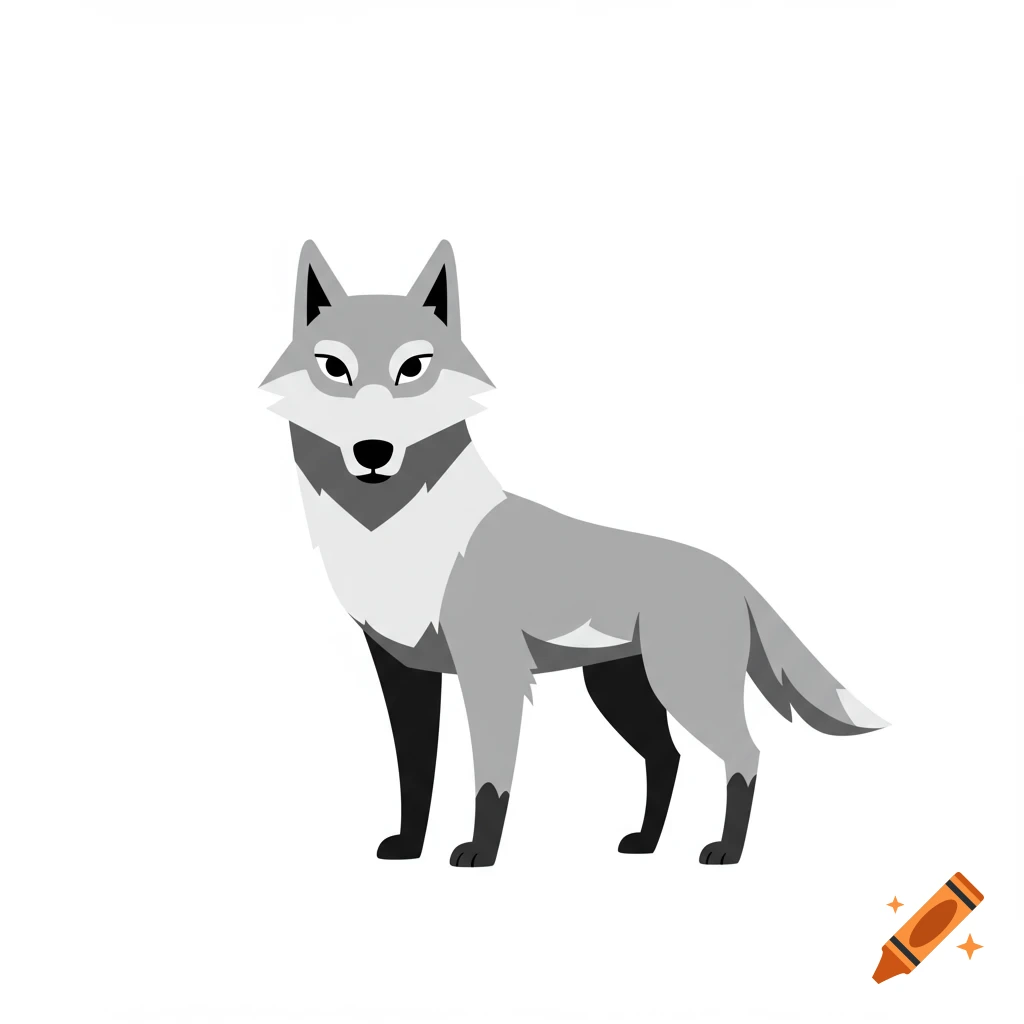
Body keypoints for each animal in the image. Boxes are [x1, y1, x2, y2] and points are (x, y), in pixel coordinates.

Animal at [261, 240, 888, 868]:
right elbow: (415, 776)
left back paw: (725, 852)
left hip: (682, 687)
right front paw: (408, 847)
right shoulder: (402, 669)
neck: (394, 535)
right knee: (667, 757)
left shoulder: (490, 669)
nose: (373, 450)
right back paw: (646, 844)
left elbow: (490, 779)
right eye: (333, 367)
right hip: (619, 691)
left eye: (413, 368)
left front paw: (480, 853)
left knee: (745, 754)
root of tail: (730, 574)